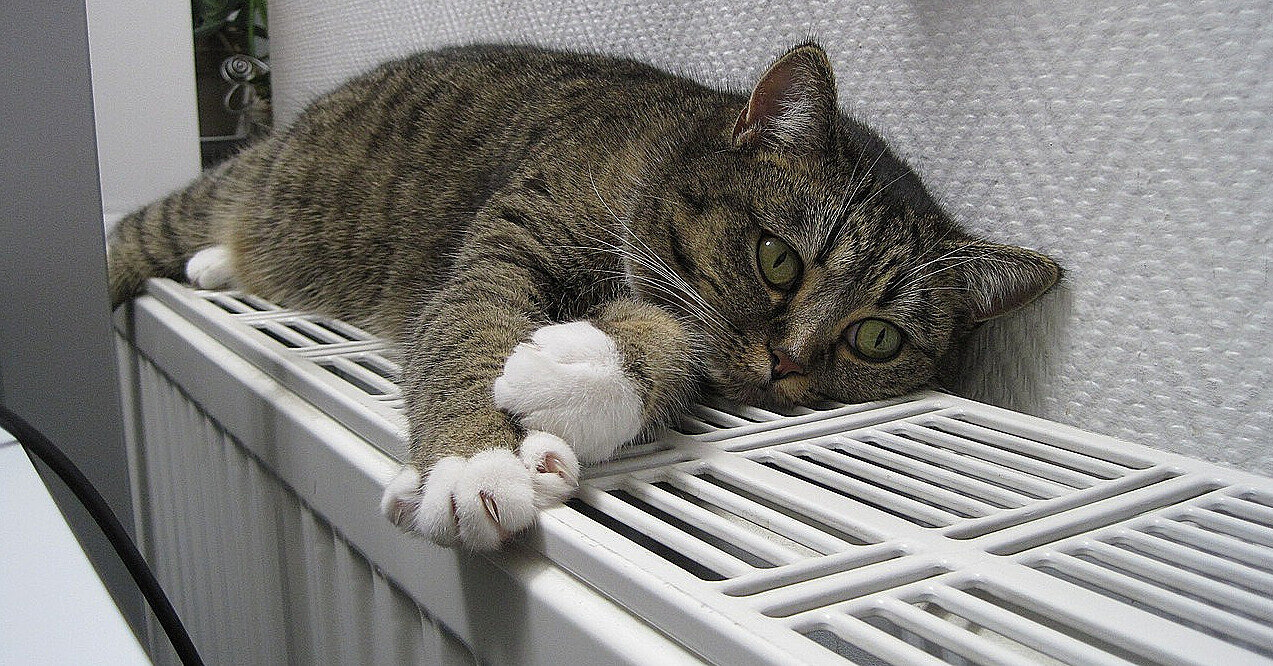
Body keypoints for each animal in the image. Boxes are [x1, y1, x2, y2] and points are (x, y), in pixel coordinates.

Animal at [107, 42, 1060, 550]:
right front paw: (474, 466)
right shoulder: (508, 241)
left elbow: (670, 343)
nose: (786, 363)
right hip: (234, 193)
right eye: (778, 260)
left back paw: (214, 268)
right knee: (137, 230)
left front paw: (581, 385)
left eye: (876, 340)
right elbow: (468, 330)